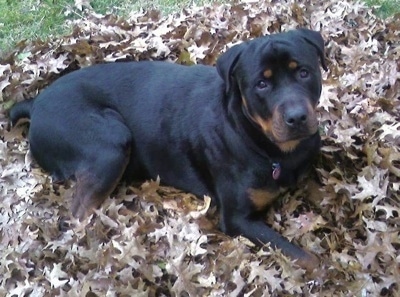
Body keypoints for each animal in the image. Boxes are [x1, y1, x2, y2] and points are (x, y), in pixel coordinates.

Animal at [9, 28, 326, 272]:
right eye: (261, 84)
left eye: (304, 73)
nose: (297, 117)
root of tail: (35, 103)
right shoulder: (238, 218)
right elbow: (301, 255)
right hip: (109, 142)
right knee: (78, 213)